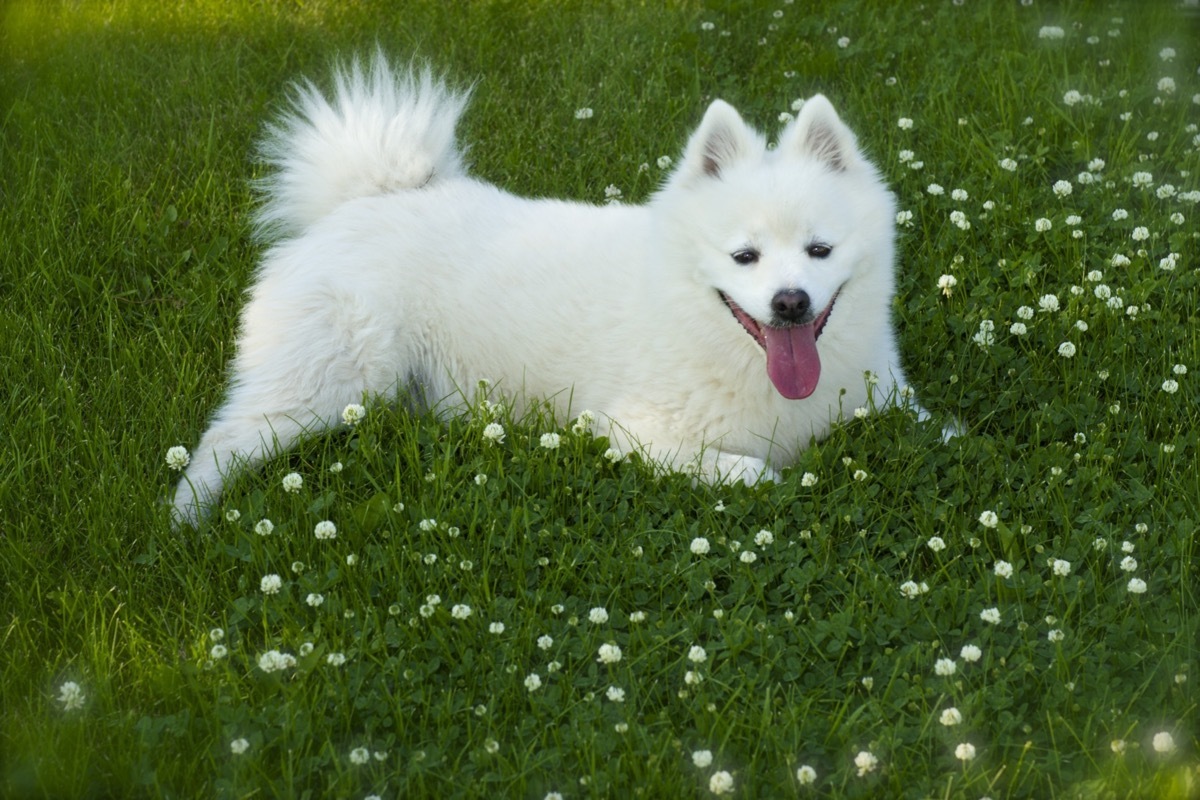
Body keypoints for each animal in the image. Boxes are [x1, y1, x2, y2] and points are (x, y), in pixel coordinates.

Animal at [174, 54, 931, 525]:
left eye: (819, 250)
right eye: (744, 257)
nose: (790, 302)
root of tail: (363, 200)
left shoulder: (894, 403)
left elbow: (936, 430)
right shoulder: (628, 431)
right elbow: (752, 472)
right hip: (333, 379)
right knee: (224, 440)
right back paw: (188, 516)